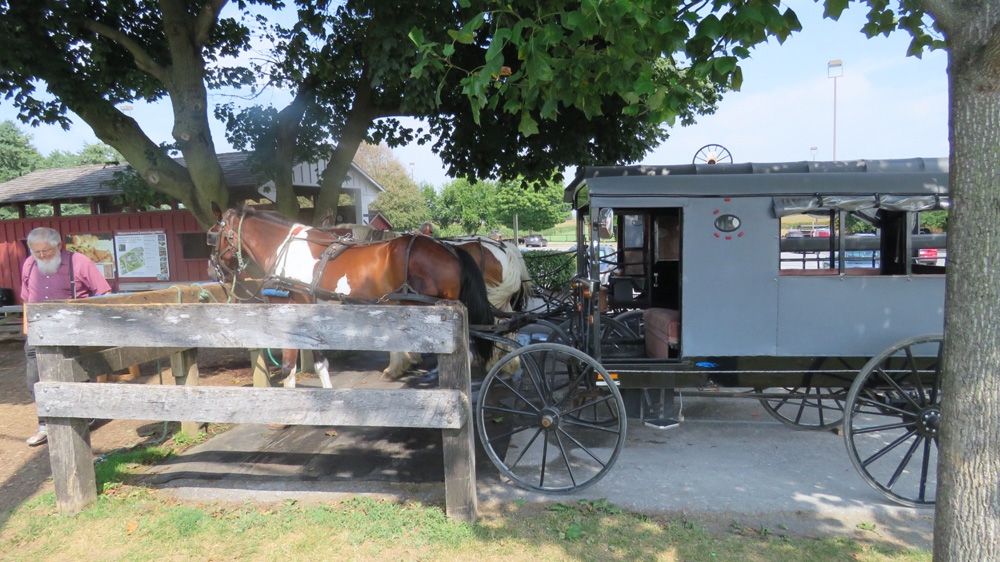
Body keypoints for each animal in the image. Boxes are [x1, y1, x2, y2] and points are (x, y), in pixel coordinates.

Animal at [207, 203, 495, 384]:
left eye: (212, 236)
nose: (212, 270)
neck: (285, 249)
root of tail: (450, 249)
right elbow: (319, 364)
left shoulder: (291, 309)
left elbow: (290, 367)